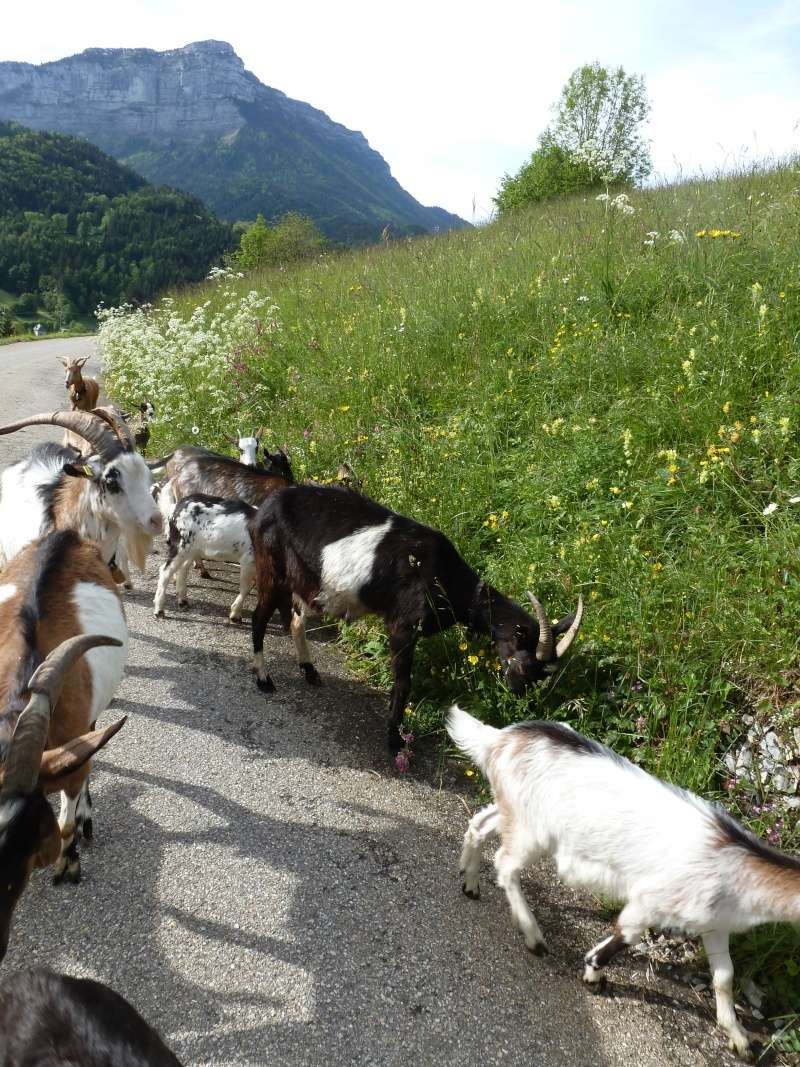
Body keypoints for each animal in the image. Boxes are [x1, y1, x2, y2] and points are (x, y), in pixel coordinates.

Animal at [153, 492, 257, 623]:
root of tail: (175, 507)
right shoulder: (249, 559)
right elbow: (246, 588)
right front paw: (235, 615)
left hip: (191, 550)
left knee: (183, 569)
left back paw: (183, 601)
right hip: (181, 545)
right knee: (165, 571)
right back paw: (159, 610)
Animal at [250, 484, 584, 751]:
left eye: (543, 674)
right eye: (527, 666)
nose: (518, 692)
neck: (446, 577)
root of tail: (264, 507)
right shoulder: (402, 626)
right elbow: (403, 683)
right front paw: (394, 739)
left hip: (297, 578)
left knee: (292, 618)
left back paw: (309, 670)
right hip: (271, 568)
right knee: (259, 618)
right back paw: (264, 679)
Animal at [448, 704, 797, 1062]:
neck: (737, 861)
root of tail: (500, 740)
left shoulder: (715, 923)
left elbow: (725, 976)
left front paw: (738, 1037)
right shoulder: (650, 900)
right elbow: (625, 936)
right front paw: (593, 974)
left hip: (513, 810)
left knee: (480, 823)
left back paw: (470, 882)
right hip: (533, 831)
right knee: (505, 865)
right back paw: (533, 936)